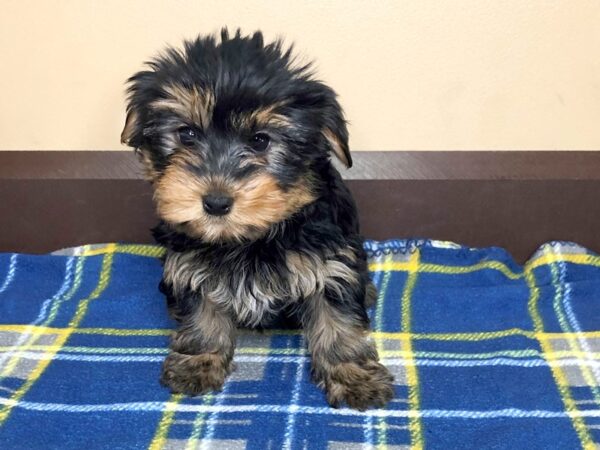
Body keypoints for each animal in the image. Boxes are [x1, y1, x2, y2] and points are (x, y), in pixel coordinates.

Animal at [121, 27, 394, 408]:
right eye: (186, 134)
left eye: (261, 141)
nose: (216, 202)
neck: (251, 238)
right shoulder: (190, 262)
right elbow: (201, 311)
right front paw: (198, 362)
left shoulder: (330, 264)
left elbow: (339, 322)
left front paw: (354, 376)